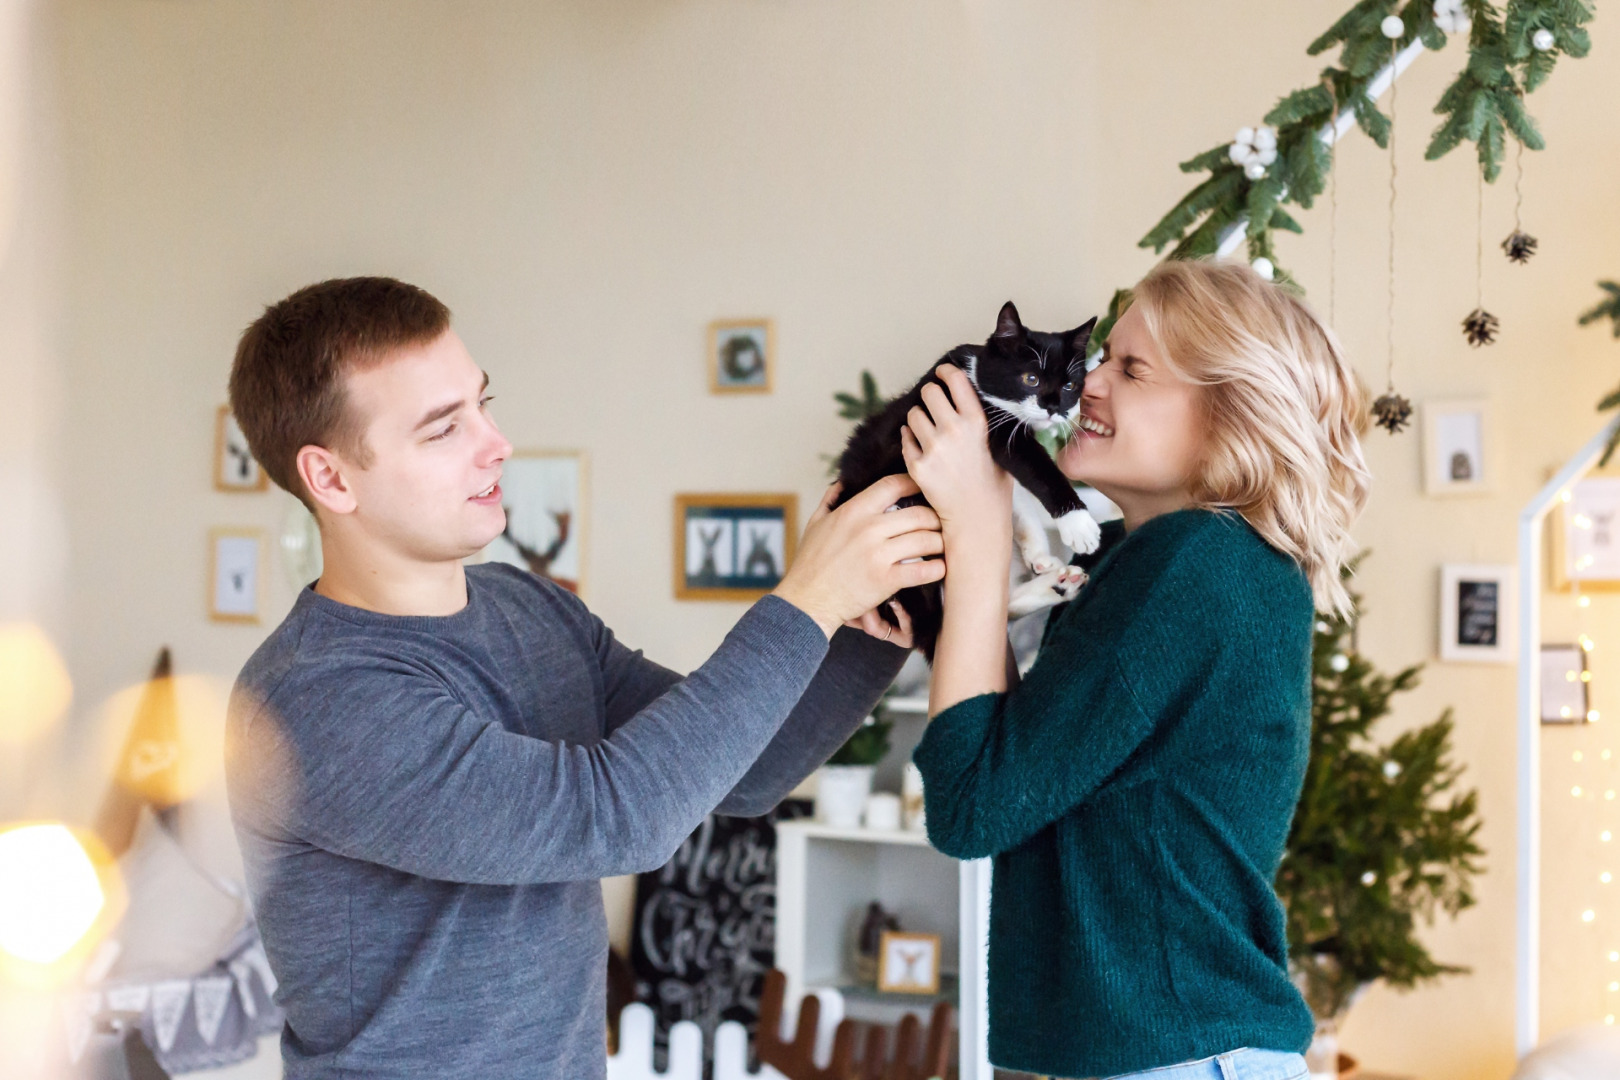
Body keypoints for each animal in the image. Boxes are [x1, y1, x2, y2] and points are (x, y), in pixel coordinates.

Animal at [835, 299, 1101, 663]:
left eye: (1070, 386)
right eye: (1030, 378)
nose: (1053, 408)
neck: (974, 373)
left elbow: (1019, 498)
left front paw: (1038, 552)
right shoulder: (991, 424)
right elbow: (1038, 470)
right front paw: (1078, 523)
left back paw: (1058, 585)